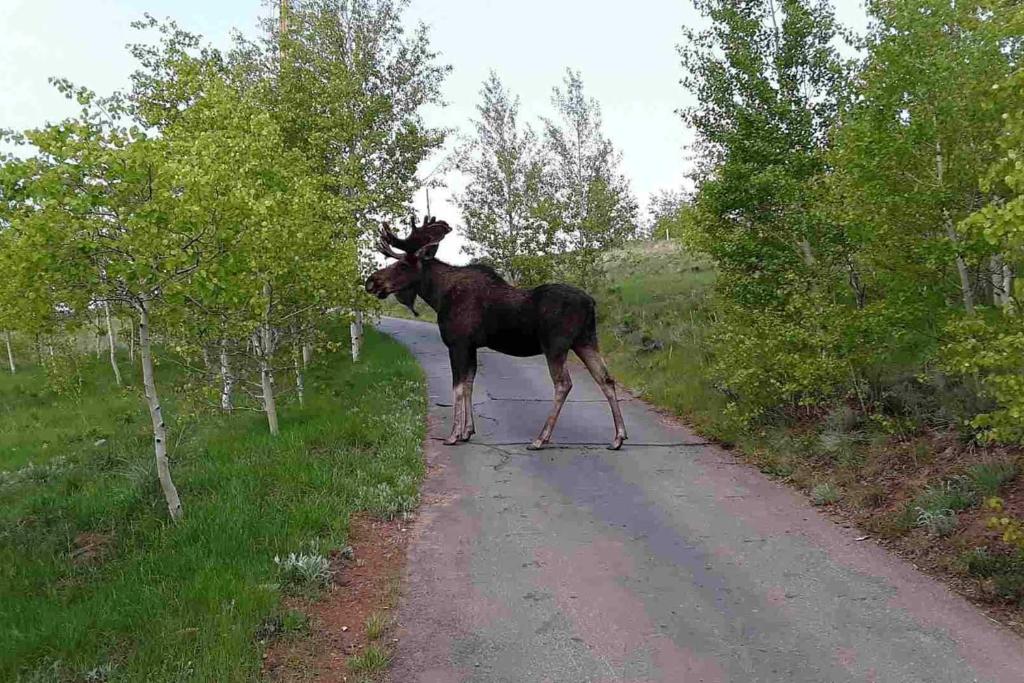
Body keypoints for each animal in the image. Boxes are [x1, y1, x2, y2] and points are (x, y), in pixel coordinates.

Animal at [364, 216, 626, 450]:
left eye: (402, 264)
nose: (371, 282)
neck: (437, 296)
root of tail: (591, 303)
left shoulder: (457, 343)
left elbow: (458, 386)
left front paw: (453, 435)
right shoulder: (471, 346)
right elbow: (469, 384)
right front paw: (467, 431)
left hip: (556, 346)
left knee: (563, 384)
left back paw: (541, 439)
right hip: (586, 341)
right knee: (606, 378)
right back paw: (618, 437)